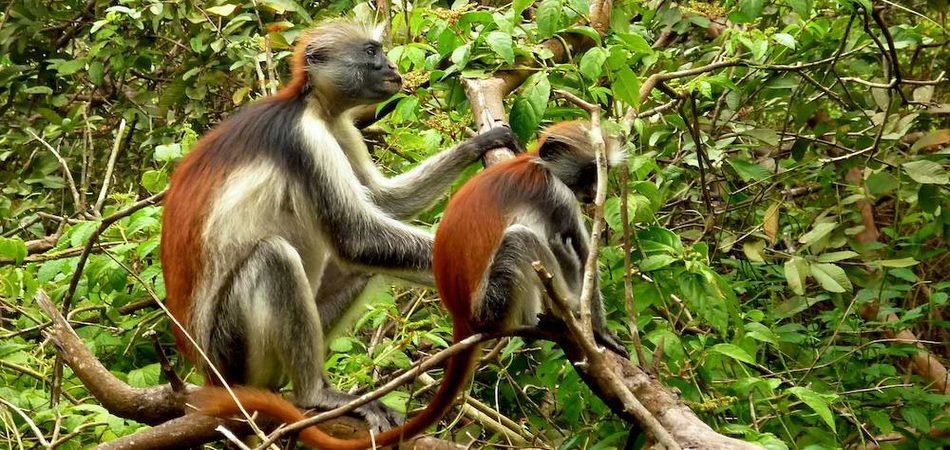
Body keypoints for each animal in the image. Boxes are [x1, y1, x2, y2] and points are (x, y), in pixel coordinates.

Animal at [161, 19, 519, 432]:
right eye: (371, 52)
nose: (391, 67)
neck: (313, 105)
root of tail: (209, 373)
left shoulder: (339, 127)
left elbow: (383, 202)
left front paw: (480, 144)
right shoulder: (305, 140)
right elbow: (356, 237)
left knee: (358, 268)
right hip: (230, 349)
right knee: (275, 257)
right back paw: (314, 394)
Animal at [189, 120, 627, 448]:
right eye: (589, 172)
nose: (593, 192)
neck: (533, 163)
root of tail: (463, 316)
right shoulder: (557, 194)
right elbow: (577, 250)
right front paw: (599, 332)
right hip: (494, 300)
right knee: (526, 240)